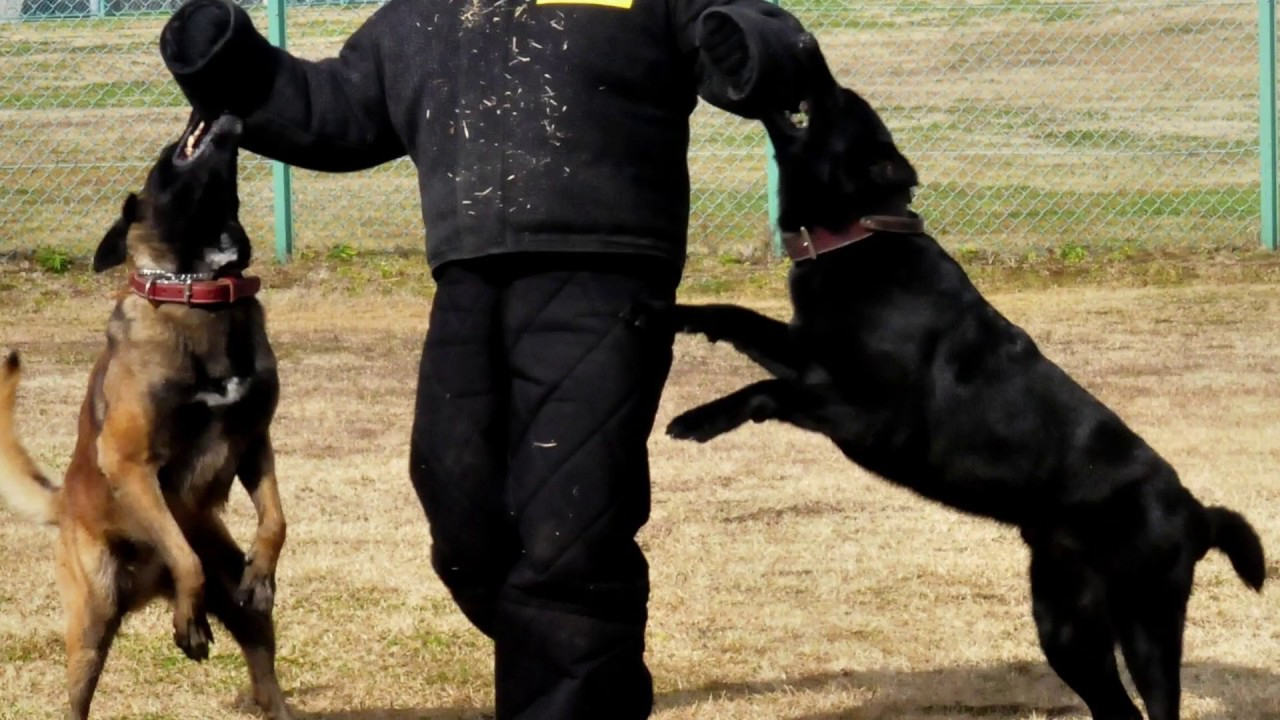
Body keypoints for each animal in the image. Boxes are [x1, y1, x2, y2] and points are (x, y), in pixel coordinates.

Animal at [1, 109, 291, 712]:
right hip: (92, 620)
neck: (201, 289)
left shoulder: (256, 442)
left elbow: (276, 520)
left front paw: (263, 570)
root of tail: (64, 503)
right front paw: (189, 618)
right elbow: (185, 558)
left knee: (263, 672)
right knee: (77, 696)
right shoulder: (132, 464)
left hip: (247, 619)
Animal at [645, 35, 1264, 720]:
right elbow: (735, 316)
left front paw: (694, 419)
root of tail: (1196, 510)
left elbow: (767, 391)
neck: (860, 235)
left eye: (840, 101)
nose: (808, 43)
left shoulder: (867, 414)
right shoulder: (808, 353)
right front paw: (668, 312)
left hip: (1145, 620)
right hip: (1066, 623)